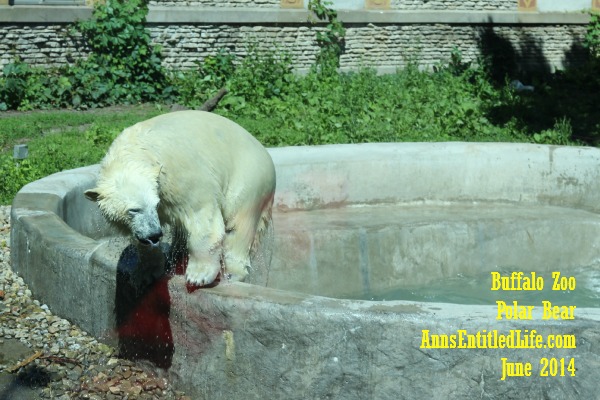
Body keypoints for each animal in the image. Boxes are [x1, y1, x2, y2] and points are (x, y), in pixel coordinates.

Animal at [85, 111, 276, 286]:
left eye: (155, 205)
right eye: (134, 210)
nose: (155, 234)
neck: (134, 151)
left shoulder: (179, 176)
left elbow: (202, 217)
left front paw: (198, 275)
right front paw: (147, 272)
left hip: (248, 178)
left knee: (238, 225)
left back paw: (232, 274)